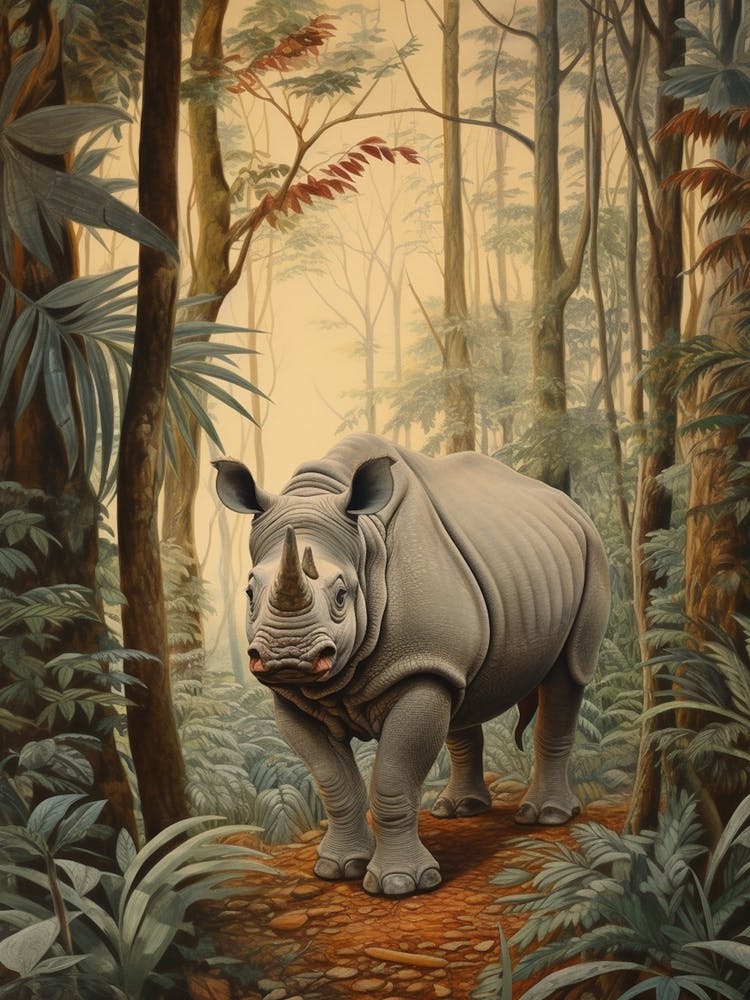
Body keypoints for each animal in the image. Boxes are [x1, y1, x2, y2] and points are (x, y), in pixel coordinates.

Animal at [213, 433, 610, 897]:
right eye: (249, 593)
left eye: (342, 595)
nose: (287, 656)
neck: (365, 544)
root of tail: (571, 507)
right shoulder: (297, 695)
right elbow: (332, 781)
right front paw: (336, 868)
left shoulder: (419, 665)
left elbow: (394, 776)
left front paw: (401, 884)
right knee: (462, 692)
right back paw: (459, 810)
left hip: (592, 551)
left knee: (569, 673)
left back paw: (546, 817)